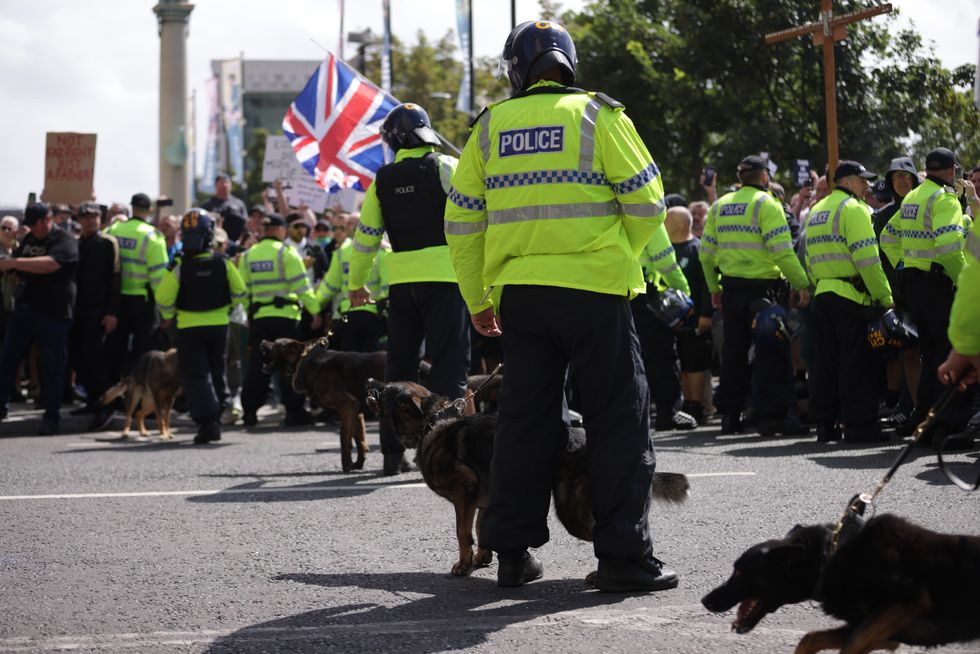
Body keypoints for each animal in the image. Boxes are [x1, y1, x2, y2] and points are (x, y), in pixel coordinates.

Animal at [362, 380, 688, 580]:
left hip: (570, 510)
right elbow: (483, 527)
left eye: (386, 388)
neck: (430, 424)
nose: (369, 380)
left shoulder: (464, 490)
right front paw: (483, 557)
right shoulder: (487, 499)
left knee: (603, 536)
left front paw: (464, 564)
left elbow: (462, 532)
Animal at [700, 510, 980, 652]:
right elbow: (810, 638)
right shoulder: (875, 628)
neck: (830, 560)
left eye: (739, 573)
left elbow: (850, 644)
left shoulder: (910, 601)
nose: (705, 601)